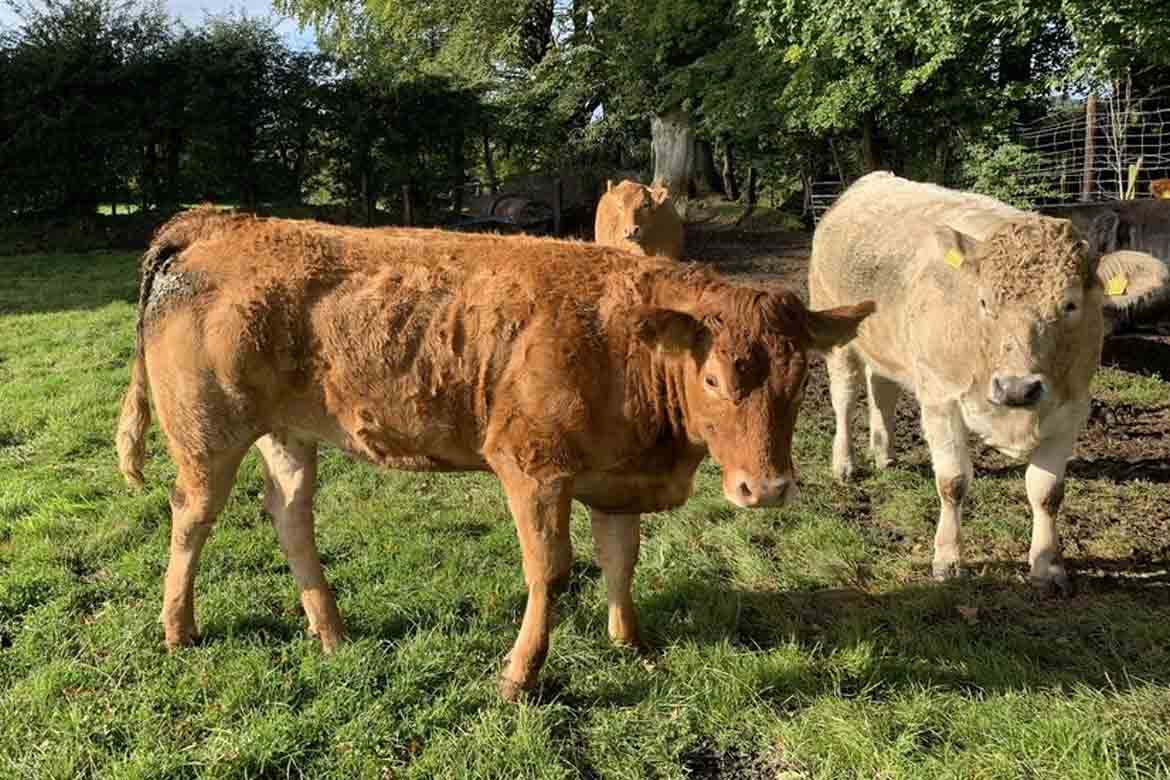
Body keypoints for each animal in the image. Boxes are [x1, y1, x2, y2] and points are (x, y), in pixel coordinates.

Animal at [116, 209, 870, 701]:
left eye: (801, 375)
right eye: (713, 380)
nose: (765, 489)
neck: (625, 347)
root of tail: (220, 222)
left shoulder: (617, 475)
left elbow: (621, 559)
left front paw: (631, 642)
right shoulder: (532, 468)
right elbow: (552, 573)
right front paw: (520, 675)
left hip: (291, 431)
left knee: (288, 512)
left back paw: (329, 630)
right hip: (207, 432)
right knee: (192, 514)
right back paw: (179, 629)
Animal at [809, 171, 1165, 591]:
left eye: (1070, 305)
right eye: (983, 303)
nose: (1016, 388)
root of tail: (870, 181)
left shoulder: (1072, 407)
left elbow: (1047, 492)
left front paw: (1048, 566)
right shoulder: (940, 400)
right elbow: (953, 482)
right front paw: (947, 559)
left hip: (885, 345)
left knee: (882, 390)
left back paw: (885, 454)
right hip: (836, 331)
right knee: (845, 398)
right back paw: (845, 465)